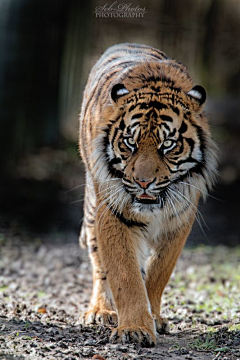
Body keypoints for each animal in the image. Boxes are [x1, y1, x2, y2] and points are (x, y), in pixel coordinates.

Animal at [78, 42, 218, 346]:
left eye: (168, 145)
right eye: (130, 143)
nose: (143, 182)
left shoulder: (180, 221)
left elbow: (158, 271)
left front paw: (153, 317)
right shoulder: (112, 213)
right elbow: (125, 274)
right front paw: (134, 329)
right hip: (93, 207)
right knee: (99, 267)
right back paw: (101, 311)